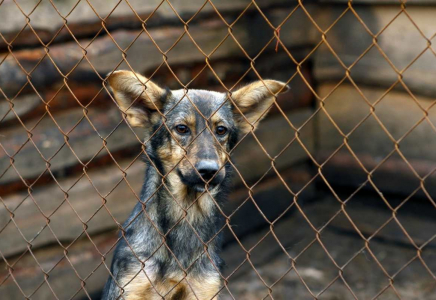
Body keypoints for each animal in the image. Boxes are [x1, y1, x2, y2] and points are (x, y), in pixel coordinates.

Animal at [100, 71, 288, 300]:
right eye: (182, 128)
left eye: (221, 130)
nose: (209, 171)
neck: (187, 212)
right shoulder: (131, 286)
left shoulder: (203, 289)